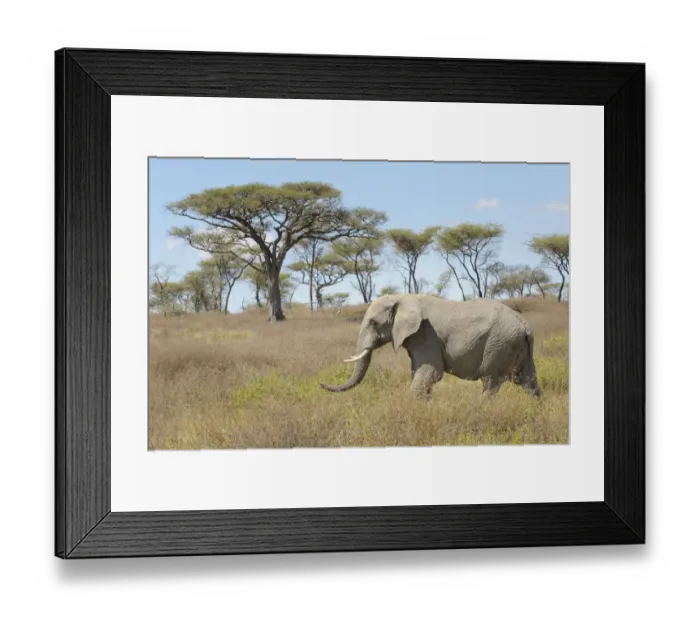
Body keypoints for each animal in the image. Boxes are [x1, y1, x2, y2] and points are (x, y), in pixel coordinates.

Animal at [320, 294, 541, 399]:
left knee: (490, 383)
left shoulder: (426, 334)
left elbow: (429, 374)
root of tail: (525, 328)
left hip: (499, 346)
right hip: (519, 348)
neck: (402, 297)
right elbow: (422, 376)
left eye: (373, 323)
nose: (321, 385)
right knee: (529, 384)